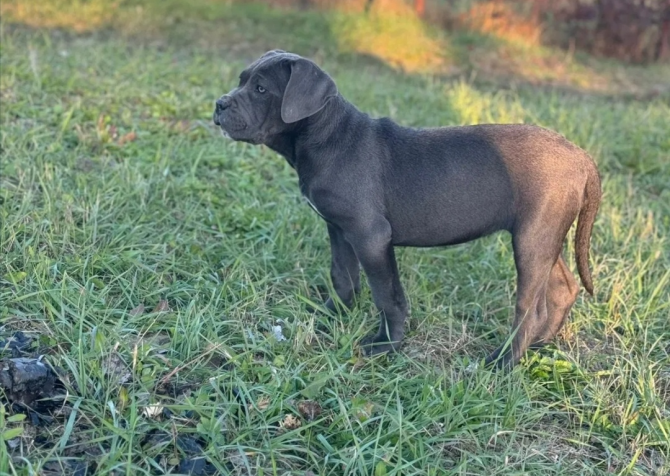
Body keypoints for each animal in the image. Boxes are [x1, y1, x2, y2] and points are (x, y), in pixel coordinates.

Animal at [215, 50, 604, 368]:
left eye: (261, 89)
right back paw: (539, 344)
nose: (219, 104)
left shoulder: (371, 236)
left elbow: (387, 295)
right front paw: (331, 316)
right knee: (562, 288)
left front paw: (386, 345)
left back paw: (504, 362)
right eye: (242, 80)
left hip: (531, 240)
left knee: (529, 306)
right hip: (543, 234)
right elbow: (343, 276)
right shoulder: (339, 229)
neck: (326, 136)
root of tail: (581, 156)